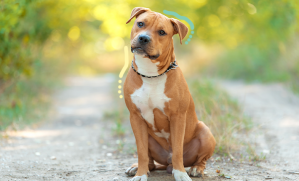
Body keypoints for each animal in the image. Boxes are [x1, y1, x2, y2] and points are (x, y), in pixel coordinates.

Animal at [123, 7, 217, 181]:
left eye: (162, 32)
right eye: (140, 24)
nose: (144, 38)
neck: (150, 74)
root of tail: (167, 164)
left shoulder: (177, 117)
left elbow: (178, 150)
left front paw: (180, 174)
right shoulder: (135, 117)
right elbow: (141, 152)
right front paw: (140, 174)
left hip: (205, 131)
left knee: (200, 159)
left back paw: (196, 168)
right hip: (147, 136)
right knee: (150, 161)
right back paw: (138, 167)